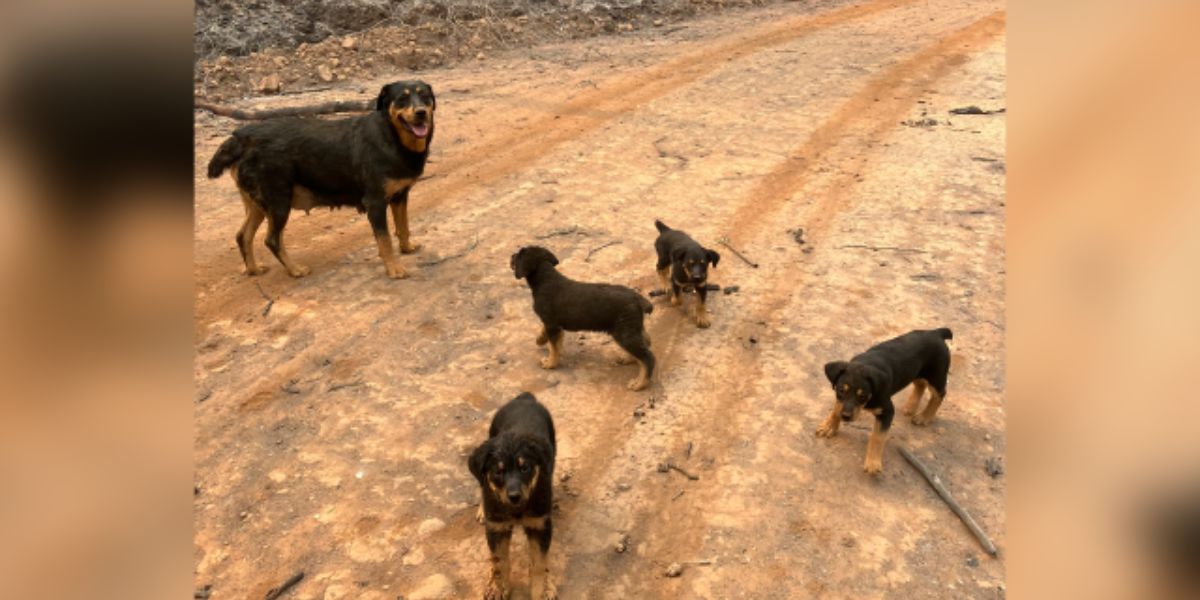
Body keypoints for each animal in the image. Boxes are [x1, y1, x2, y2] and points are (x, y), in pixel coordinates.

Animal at [208, 78, 439, 280]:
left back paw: (254, 269)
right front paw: (393, 268)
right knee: (272, 240)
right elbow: (385, 240)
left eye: (425, 96)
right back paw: (295, 270)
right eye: (402, 98)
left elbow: (403, 227)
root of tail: (241, 137)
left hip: (257, 204)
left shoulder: (400, 196)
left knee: (243, 236)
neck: (391, 136)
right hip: (278, 201)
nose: (421, 112)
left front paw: (407, 248)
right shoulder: (375, 202)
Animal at [470, 391, 559, 600]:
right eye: (498, 472)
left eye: (525, 468)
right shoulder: (497, 527)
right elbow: (499, 563)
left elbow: (539, 563)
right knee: (481, 483)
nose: (514, 496)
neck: (516, 510)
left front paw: (541, 590)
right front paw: (498, 588)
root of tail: (525, 398)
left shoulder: (539, 525)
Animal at [508, 246, 657, 391]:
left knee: (647, 357)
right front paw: (541, 340)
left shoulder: (551, 323)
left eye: (519, 255)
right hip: (631, 329)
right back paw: (628, 359)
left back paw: (640, 383)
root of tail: (638, 299)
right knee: (646, 342)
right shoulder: (554, 325)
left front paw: (551, 363)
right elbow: (552, 341)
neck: (545, 279)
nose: (511, 256)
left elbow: (554, 347)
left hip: (624, 333)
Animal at [816, 328, 955, 472]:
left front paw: (873, 463)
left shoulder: (887, 410)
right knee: (920, 385)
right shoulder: (840, 400)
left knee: (939, 394)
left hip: (936, 376)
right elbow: (836, 408)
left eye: (862, 396)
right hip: (917, 372)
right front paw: (829, 426)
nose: (846, 417)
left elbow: (878, 436)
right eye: (841, 390)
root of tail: (936, 332)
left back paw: (924, 417)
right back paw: (911, 407)